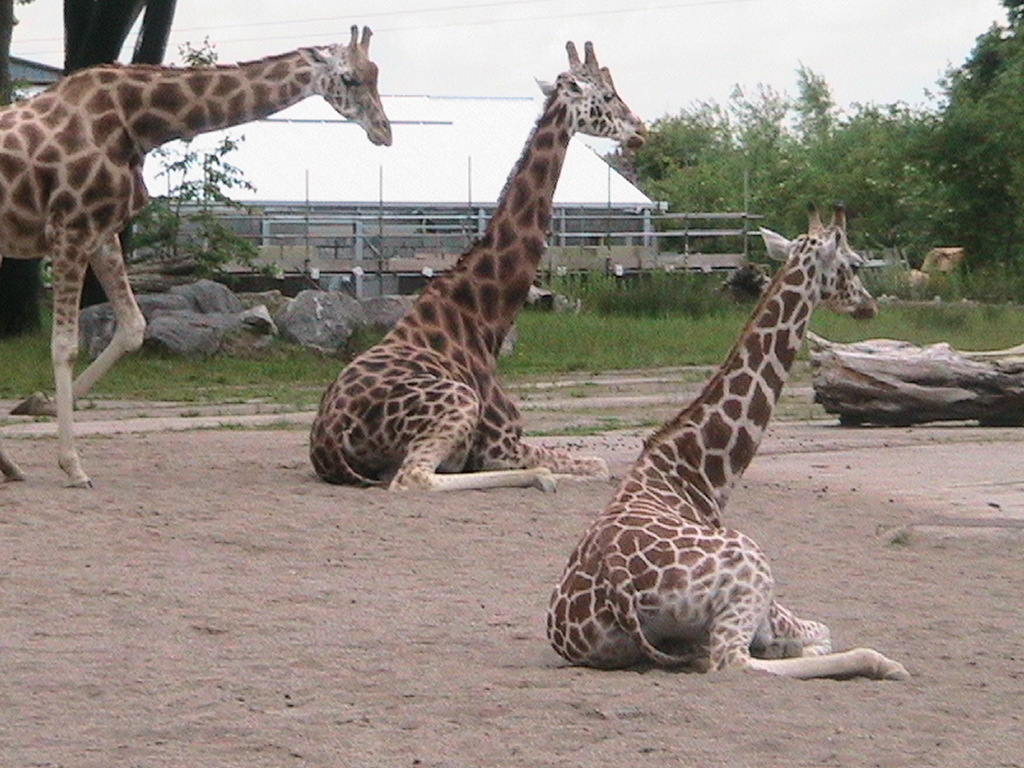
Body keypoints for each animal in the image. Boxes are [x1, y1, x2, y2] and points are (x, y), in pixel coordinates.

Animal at [0, 26, 392, 487]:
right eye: (350, 78)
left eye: (376, 74)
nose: (384, 131)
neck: (138, 123)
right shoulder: (71, 230)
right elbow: (65, 345)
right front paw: (73, 465)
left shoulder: (102, 233)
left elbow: (133, 327)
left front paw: (37, 403)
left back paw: (9, 464)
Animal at [309, 42, 646, 492]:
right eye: (608, 96)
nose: (639, 128)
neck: (486, 318)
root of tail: (326, 441)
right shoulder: (502, 444)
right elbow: (598, 463)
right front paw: (549, 473)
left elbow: (595, 462)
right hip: (459, 402)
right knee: (412, 479)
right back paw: (541, 477)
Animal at [547, 206, 910, 680]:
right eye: (854, 263)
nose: (869, 305)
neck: (697, 474)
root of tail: (618, 592)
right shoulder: (773, 611)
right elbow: (822, 633)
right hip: (753, 564)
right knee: (733, 661)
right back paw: (885, 663)